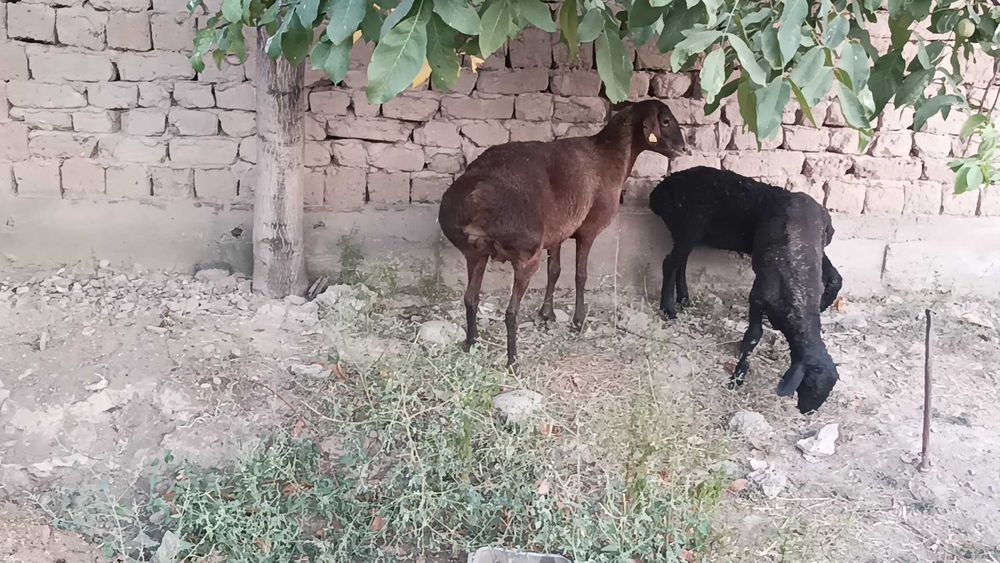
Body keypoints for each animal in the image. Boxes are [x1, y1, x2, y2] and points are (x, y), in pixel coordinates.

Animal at [439, 99, 686, 367]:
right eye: (665, 121)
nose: (683, 148)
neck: (610, 155)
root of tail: (476, 198)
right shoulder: (588, 231)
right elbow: (580, 275)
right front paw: (578, 321)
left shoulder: (557, 232)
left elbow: (554, 271)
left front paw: (547, 314)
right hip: (525, 255)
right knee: (511, 312)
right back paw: (513, 362)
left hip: (475, 253)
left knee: (470, 298)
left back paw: (470, 343)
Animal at [648, 166, 842, 319]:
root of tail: (658, 194)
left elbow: (834, 277)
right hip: (690, 229)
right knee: (670, 263)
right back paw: (668, 309)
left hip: (685, 233)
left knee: (680, 263)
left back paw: (684, 300)